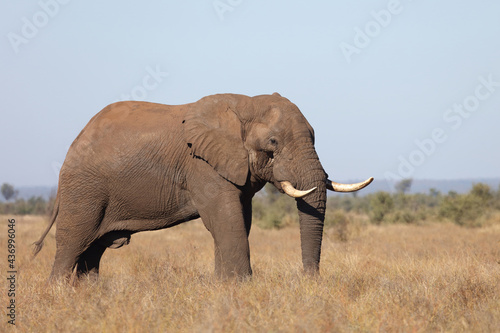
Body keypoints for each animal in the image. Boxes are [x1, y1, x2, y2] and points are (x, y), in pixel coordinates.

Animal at [33, 91, 372, 280]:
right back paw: (59, 294)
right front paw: (240, 288)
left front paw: (225, 287)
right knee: (72, 244)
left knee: (92, 252)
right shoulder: (202, 164)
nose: (308, 280)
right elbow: (226, 221)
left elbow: (239, 221)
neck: (244, 104)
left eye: (314, 136)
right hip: (84, 189)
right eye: (273, 143)